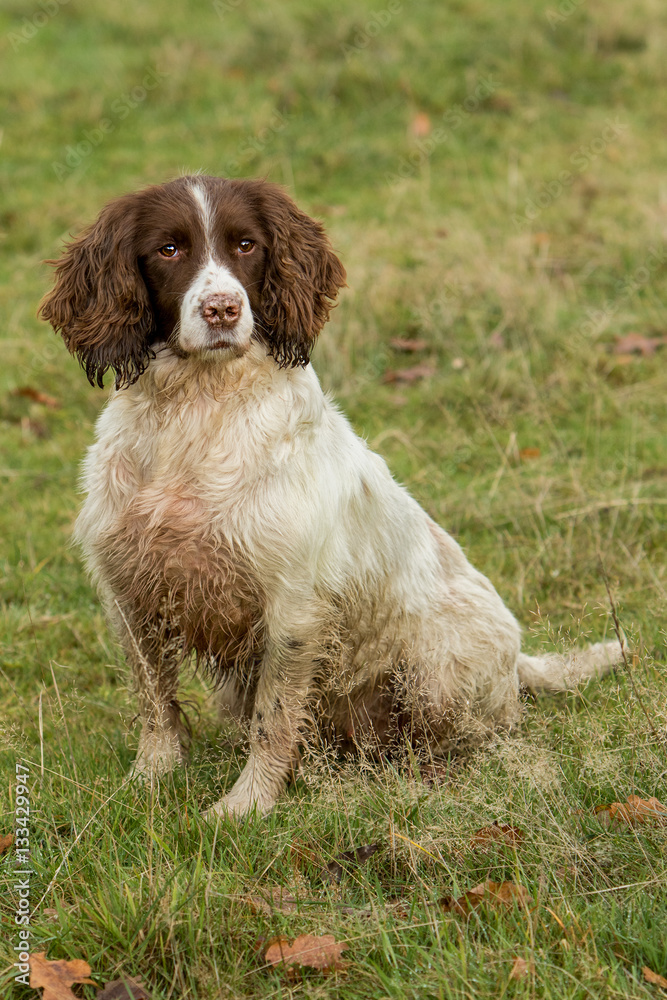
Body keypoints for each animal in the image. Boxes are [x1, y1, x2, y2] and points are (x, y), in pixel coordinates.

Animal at [41, 178, 624, 820]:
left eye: (245, 244)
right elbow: (155, 703)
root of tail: (518, 657)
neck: (197, 413)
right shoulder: (129, 593)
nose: (223, 309)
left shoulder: (293, 606)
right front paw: (150, 780)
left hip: (437, 675)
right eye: (169, 249)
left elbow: (274, 720)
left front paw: (246, 806)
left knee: (474, 737)